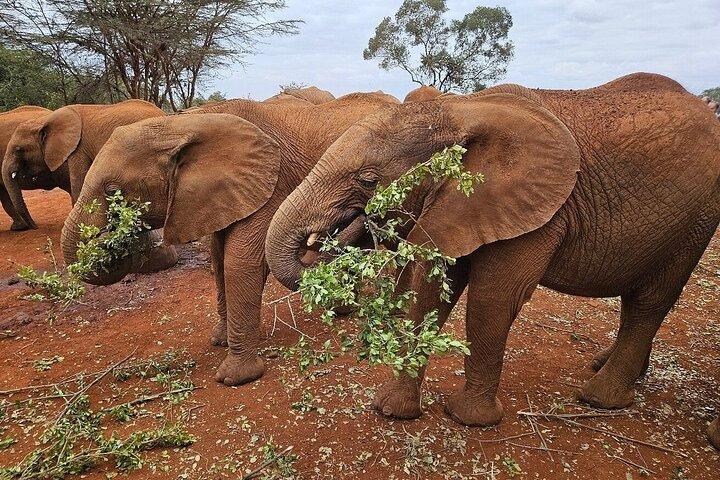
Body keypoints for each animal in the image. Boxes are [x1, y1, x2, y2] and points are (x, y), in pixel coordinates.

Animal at [60, 91, 399, 386]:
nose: (112, 239)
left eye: (113, 192)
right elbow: (218, 257)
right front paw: (219, 340)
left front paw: (235, 378)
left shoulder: (269, 184)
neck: (183, 124)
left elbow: (240, 262)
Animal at [264, 73, 720, 447]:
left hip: (696, 218)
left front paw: (468, 419)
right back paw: (606, 369)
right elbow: (430, 292)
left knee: (650, 300)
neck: (463, 110)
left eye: (369, 181)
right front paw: (393, 410)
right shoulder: (461, 205)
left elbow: (492, 298)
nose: (357, 222)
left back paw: (598, 398)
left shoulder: (538, 210)